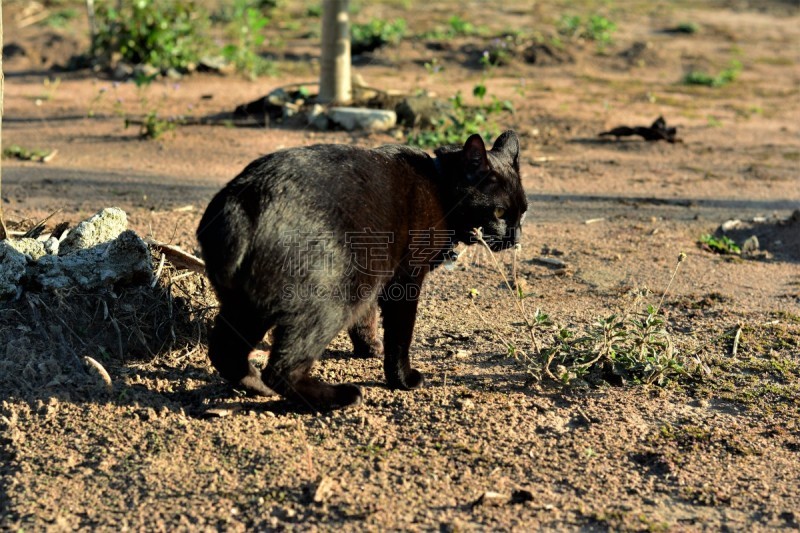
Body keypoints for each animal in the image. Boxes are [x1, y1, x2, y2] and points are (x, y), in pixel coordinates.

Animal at [197, 131, 528, 410]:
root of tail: (244, 202)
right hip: (332, 297)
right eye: (499, 211)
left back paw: (255, 386)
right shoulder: (404, 280)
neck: (440, 185)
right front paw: (402, 379)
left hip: (248, 304)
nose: (515, 237)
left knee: (225, 351)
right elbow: (400, 336)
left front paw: (369, 348)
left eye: (523, 211)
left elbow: (365, 319)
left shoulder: (374, 272)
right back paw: (339, 396)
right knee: (281, 369)